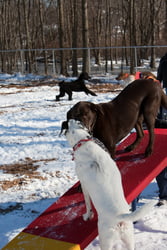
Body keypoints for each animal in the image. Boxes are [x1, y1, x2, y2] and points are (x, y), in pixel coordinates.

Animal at [61, 120, 155, 249]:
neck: (84, 142)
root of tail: (120, 218)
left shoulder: (84, 185)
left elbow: (87, 204)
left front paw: (87, 216)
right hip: (129, 238)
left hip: (105, 240)